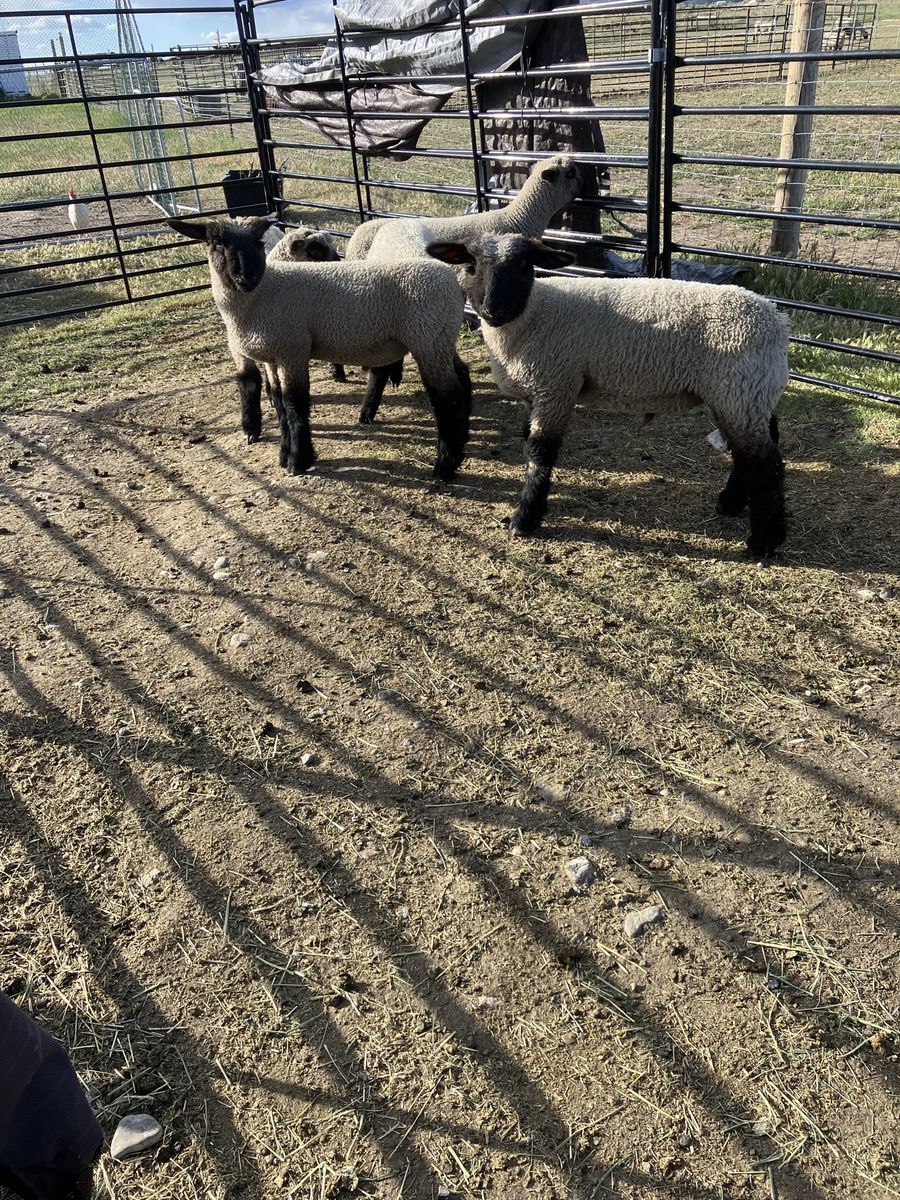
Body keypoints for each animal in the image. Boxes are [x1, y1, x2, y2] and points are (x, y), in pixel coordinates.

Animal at [168, 214, 471, 481]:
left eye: (258, 241)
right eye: (218, 243)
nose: (247, 276)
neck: (264, 293)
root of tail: (451, 279)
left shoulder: (292, 349)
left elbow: (295, 403)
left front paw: (298, 461)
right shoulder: (273, 355)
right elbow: (278, 401)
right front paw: (284, 453)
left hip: (428, 340)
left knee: (446, 398)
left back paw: (445, 466)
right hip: (440, 339)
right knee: (461, 376)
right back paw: (461, 440)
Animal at [427, 234, 788, 557]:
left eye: (524, 265)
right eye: (471, 264)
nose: (493, 309)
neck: (534, 314)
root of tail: (777, 320)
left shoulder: (556, 386)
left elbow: (540, 452)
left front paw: (525, 518)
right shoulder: (536, 392)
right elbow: (529, 445)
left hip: (738, 391)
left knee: (765, 462)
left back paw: (764, 542)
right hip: (744, 394)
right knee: (753, 448)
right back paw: (731, 503)